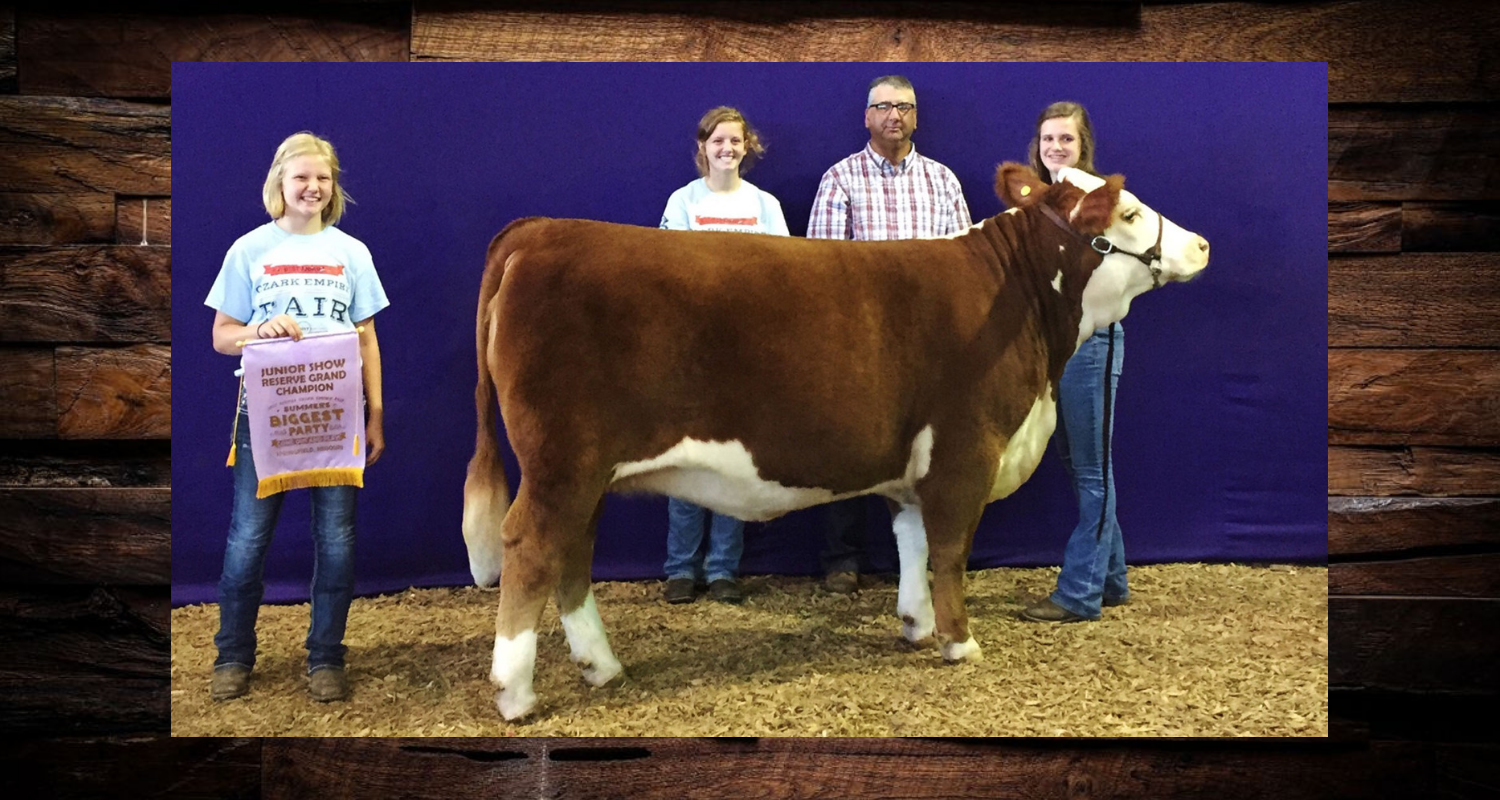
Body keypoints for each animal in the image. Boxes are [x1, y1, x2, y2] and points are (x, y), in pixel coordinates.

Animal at [462, 163, 1209, 719]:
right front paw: (959, 643)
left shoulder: (913, 462)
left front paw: (915, 625)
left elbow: (911, 541)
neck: (1019, 300)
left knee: (572, 553)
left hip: (588, 472)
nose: (1201, 244)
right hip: (561, 462)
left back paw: (602, 666)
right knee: (529, 544)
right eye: (1130, 212)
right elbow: (950, 549)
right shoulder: (966, 448)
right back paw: (516, 694)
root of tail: (540, 230)